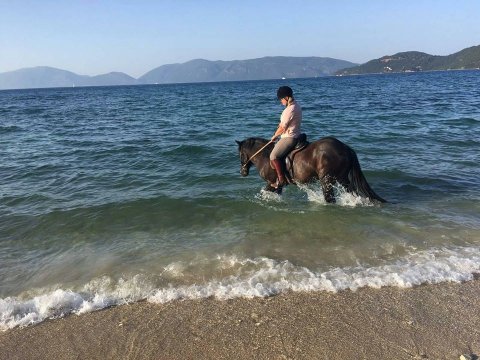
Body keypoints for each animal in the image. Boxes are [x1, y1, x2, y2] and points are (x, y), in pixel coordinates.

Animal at [236, 136, 386, 204]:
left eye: (241, 154)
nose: (242, 172)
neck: (265, 156)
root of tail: (345, 148)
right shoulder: (277, 185)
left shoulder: (273, 182)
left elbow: (265, 192)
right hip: (343, 179)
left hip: (326, 179)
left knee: (330, 198)